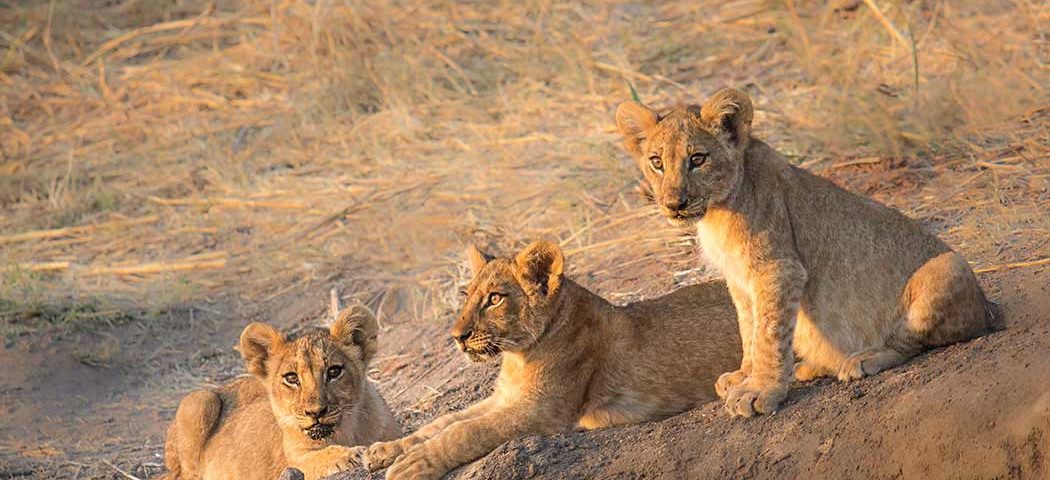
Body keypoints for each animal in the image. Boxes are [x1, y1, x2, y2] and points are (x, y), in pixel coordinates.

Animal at [160, 305, 400, 480]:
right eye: (292, 378)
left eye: (334, 371)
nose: (316, 412)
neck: (346, 431)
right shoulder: (294, 460)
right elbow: (319, 458)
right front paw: (350, 455)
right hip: (200, 399)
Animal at [361, 240, 740, 480]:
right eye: (467, 295)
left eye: (495, 299)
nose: (457, 337)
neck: (517, 356)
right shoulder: (503, 398)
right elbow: (443, 422)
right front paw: (386, 449)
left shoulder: (543, 411)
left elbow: (468, 430)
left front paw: (412, 464)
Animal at [615, 88, 999, 418]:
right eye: (656, 162)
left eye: (697, 159)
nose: (674, 203)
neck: (716, 212)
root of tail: (989, 309)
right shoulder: (739, 280)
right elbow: (748, 328)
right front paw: (744, 375)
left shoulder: (778, 269)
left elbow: (768, 333)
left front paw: (759, 391)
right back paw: (810, 366)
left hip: (949, 265)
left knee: (912, 342)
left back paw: (861, 359)